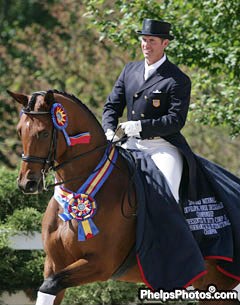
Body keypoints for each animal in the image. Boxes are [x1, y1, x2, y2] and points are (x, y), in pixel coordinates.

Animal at [7, 88, 240, 304]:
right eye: (19, 131)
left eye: (44, 133)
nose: (27, 183)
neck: (79, 191)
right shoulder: (54, 263)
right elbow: (48, 287)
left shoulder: (101, 264)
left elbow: (51, 283)